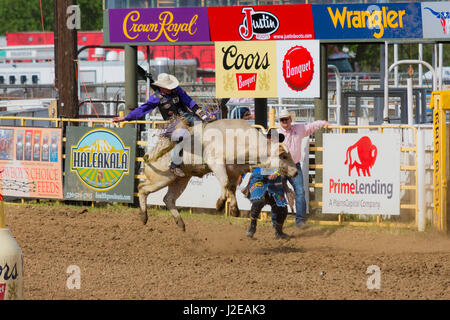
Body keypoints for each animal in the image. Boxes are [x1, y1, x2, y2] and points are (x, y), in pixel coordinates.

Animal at [137, 117, 298, 230]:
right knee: (142, 189)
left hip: (180, 180)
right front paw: (220, 204)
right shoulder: (216, 163)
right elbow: (225, 182)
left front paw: (234, 210)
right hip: (161, 179)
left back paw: (180, 223)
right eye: (284, 156)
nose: (296, 171)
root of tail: (149, 155)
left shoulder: (234, 171)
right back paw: (144, 217)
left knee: (168, 199)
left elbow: (231, 188)